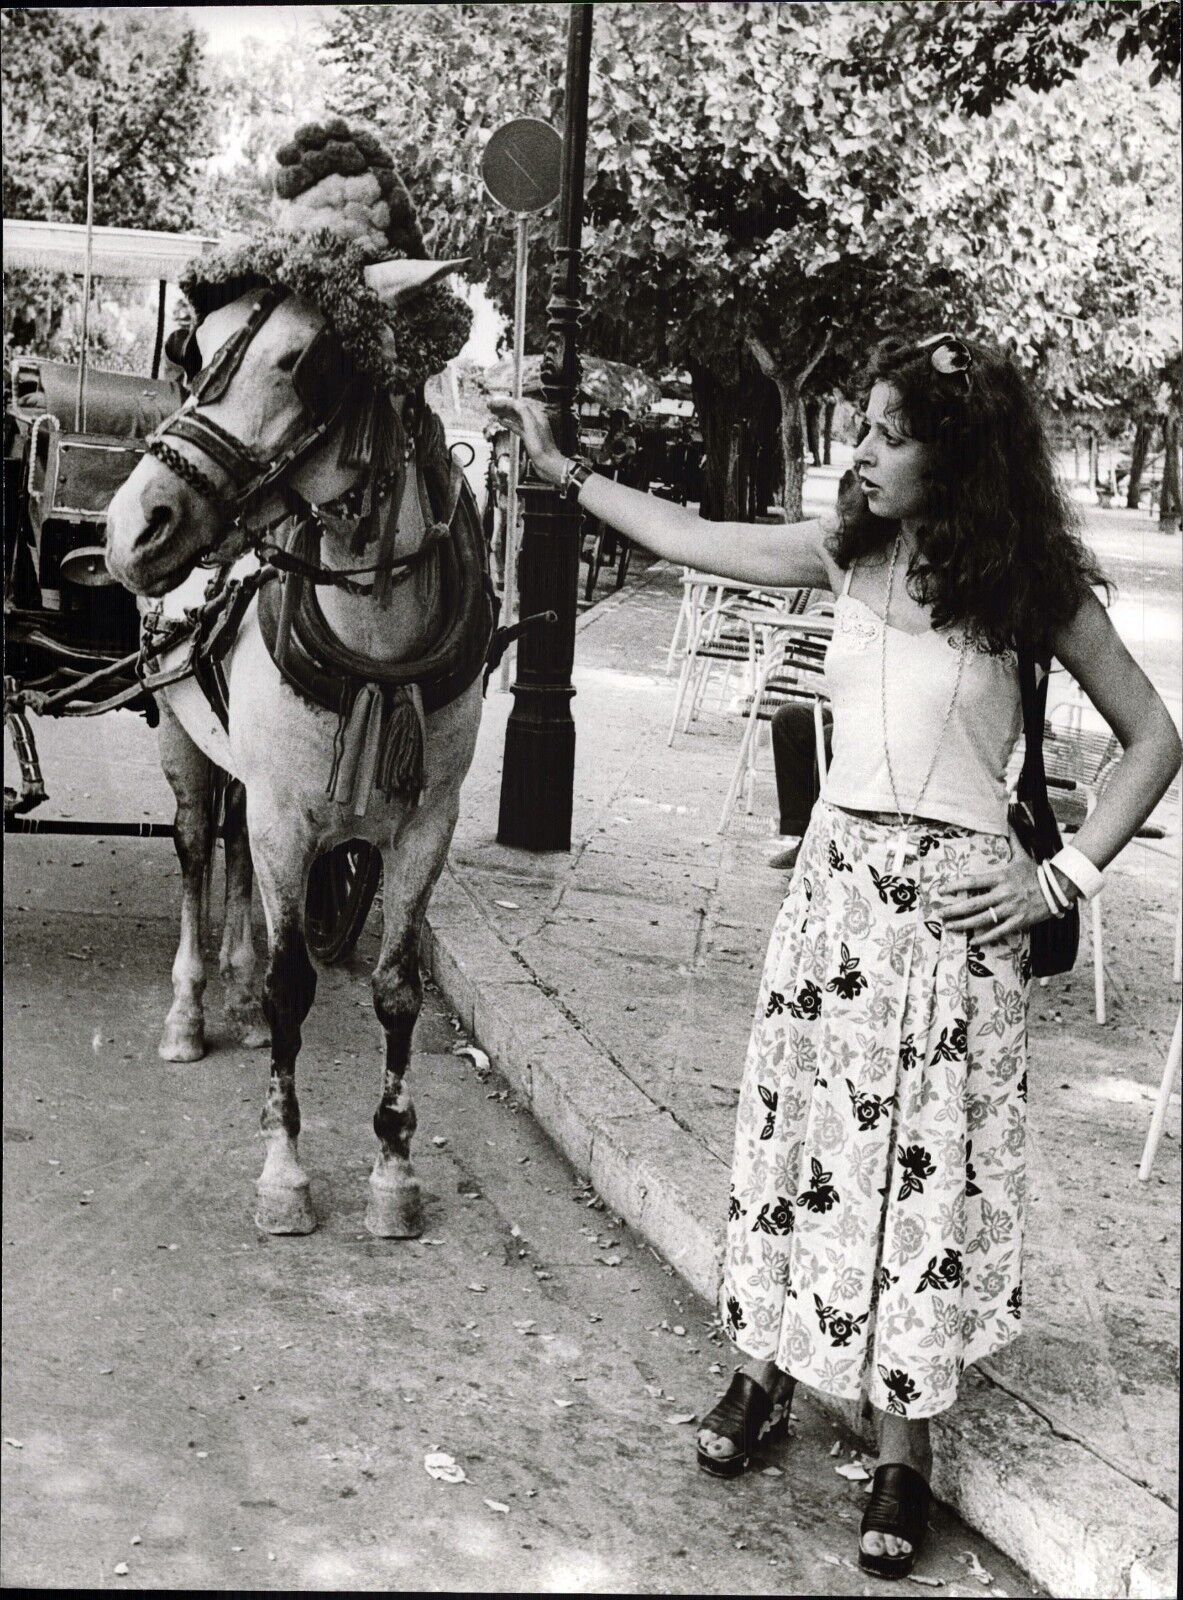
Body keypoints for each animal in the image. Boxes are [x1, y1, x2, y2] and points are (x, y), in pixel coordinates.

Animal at [105, 259, 486, 1235]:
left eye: (305, 361)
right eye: (193, 349)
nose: (134, 526)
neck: (377, 644)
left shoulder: (427, 823)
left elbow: (395, 989)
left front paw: (393, 1170)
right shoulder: (285, 811)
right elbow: (294, 988)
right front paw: (283, 1171)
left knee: (237, 855)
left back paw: (235, 993)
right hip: (184, 735)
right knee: (198, 847)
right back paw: (192, 1013)